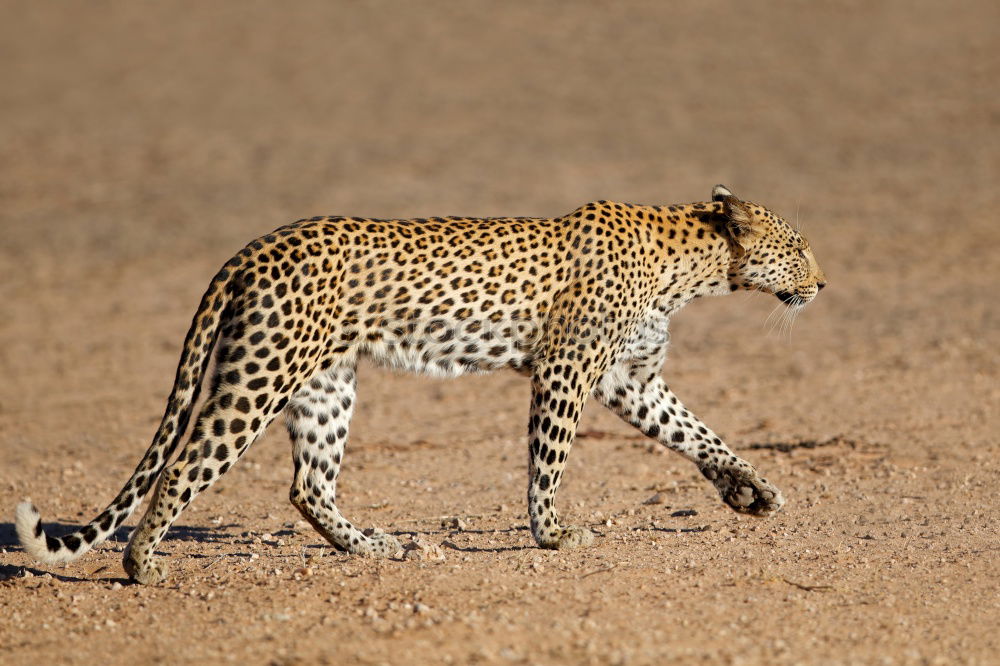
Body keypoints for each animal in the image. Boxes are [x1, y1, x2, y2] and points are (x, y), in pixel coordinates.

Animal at [15, 183, 828, 580]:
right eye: (798, 247)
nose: (823, 284)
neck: (693, 269)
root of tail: (252, 248)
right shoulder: (566, 369)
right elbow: (549, 461)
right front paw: (552, 534)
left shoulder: (629, 379)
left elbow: (697, 433)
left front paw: (751, 491)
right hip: (261, 374)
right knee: (183, 464)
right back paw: (142, 566)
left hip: (326, 384)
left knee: (307, 485)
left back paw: (371, 548)